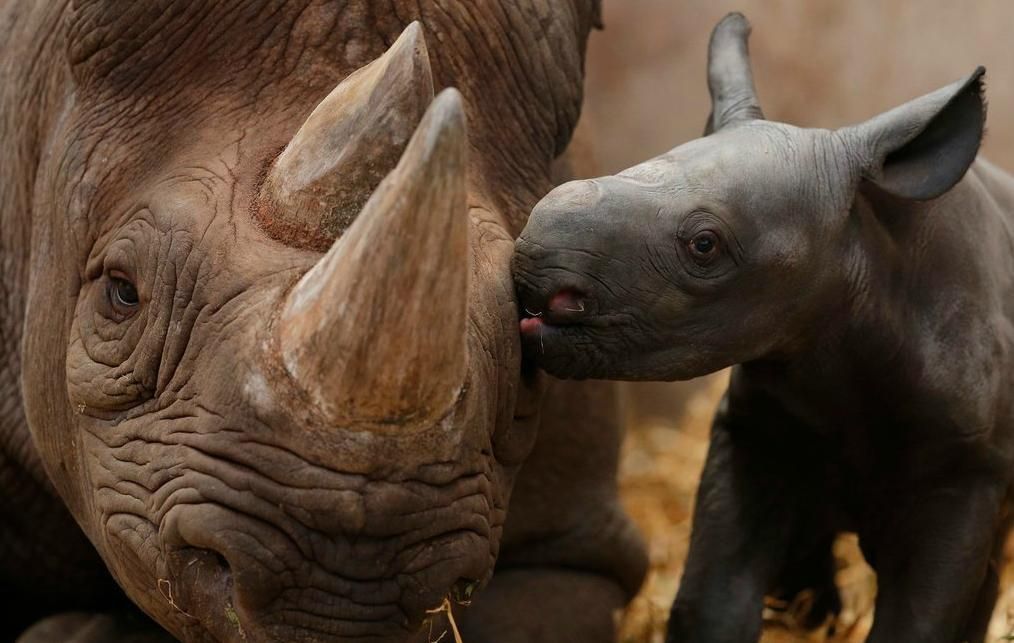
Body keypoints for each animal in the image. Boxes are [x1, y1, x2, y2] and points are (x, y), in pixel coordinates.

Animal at [515, 12, 1014, 640]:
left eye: (704, 246)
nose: (528, 262)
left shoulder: (962, 470)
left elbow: (919, 621)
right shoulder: (757, 429)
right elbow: (712, 599)